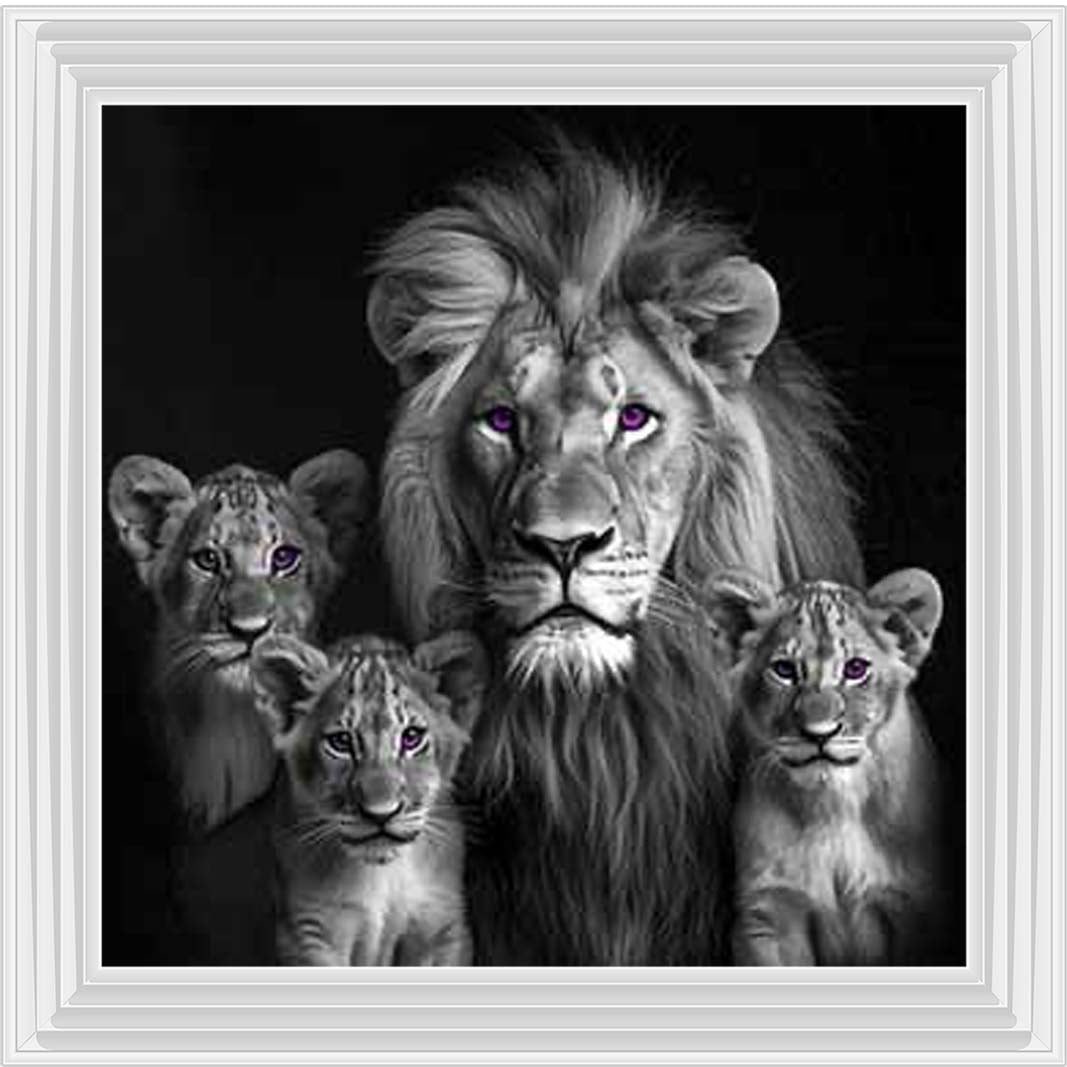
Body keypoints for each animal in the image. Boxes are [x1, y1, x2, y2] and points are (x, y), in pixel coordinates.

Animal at [250, 631, 485, 966]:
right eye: (340, 742)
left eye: (411, 737)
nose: (381, 814)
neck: (382, 875)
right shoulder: (307, 934)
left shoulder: (442, 927)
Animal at [703, 568, 945, 966]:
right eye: (784, 670)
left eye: (856, 669)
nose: (820, 733)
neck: (833, 805)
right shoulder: (769, 912)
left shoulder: (916, 908)